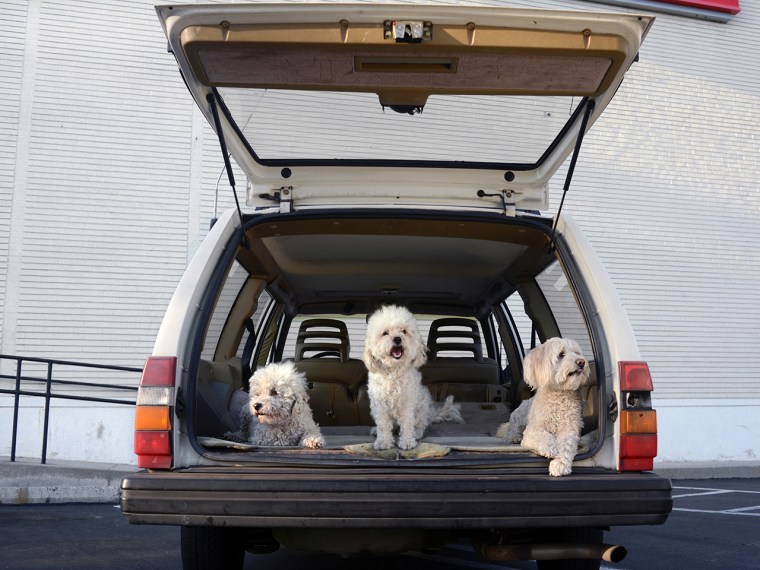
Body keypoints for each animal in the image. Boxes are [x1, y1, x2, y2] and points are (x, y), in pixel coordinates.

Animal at [362, 304, 464, 450]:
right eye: (385, 333)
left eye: (404, 331)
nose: (397, 338)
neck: (394, 372)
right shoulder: (380, 405)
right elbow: (383, 425)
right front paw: (383, 442)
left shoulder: (407, 404)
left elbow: (407, 424)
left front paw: (407, 442)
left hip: (422, 406)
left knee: (421, 424)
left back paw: (417, 433)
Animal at [502, 338, 592, 474]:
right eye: (561, 354)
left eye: (577, 353)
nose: (581, 362)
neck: (559, 394)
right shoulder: (532, 431)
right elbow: (544, 436)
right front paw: (551, 448)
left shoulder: (569, 430)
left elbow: (566, 445)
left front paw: (560, 464)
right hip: (518, 416)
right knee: (511, 430)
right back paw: (514, 437)